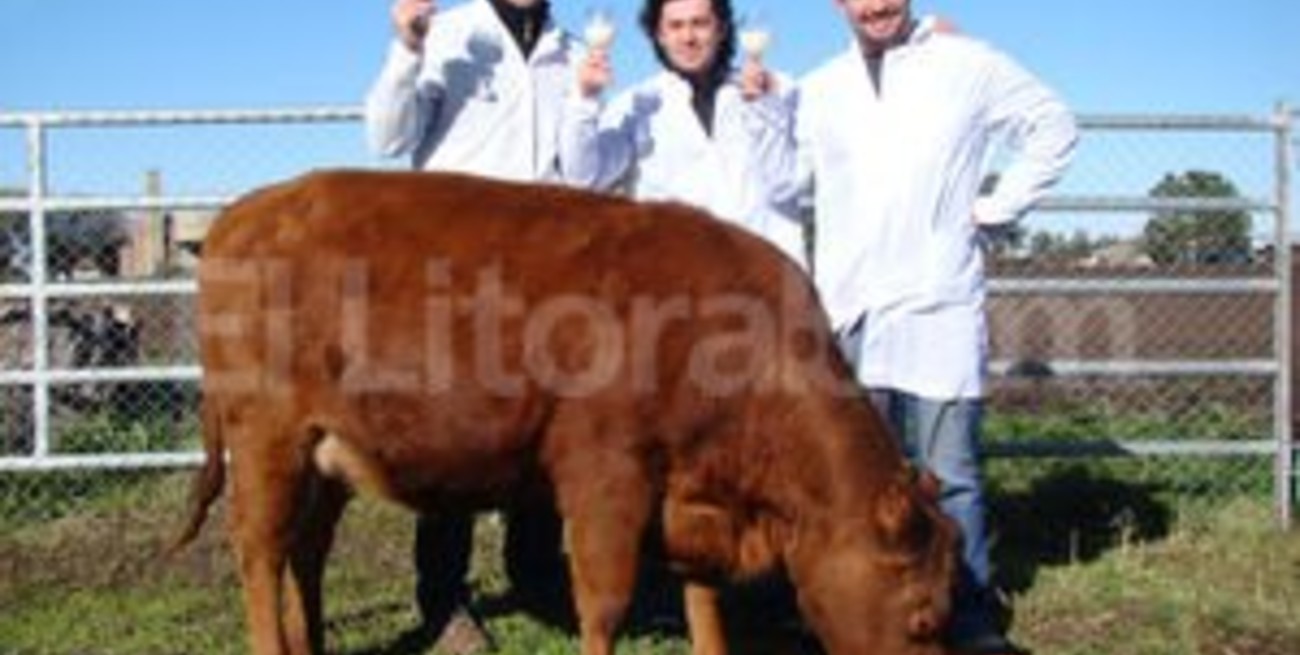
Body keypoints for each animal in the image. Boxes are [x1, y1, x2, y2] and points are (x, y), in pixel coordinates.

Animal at [172, 170, 960, 655]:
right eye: (923, 617)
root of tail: (246, 210)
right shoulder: (605, 474)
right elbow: (604, 601)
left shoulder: (693, 494)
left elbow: (706, 603)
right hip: (267, 437)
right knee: (260, 552)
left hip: (328, 454)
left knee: (306, 552)